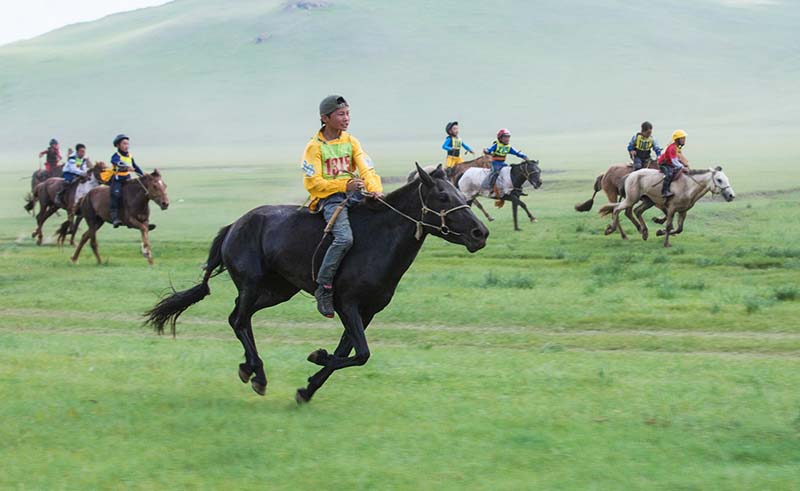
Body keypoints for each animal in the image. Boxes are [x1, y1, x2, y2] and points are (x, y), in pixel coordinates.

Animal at [144, 165, 489, 403]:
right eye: (443, 196)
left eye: (461, 194)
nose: (480, 233)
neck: (379, 240)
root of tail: (234, 225)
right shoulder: (346, 304)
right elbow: (361, 354)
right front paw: (316, 357)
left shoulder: (367, 312)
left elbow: (349, 351)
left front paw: (307, 389)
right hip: (252, 284)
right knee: (240, 320)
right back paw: (258, 374)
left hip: (278, 290)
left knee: (238, 318)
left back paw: (249, 369)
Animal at [599, 166, 735, 247]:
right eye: (719, 180)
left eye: (726, 179)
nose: (731, 196)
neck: (688, 186)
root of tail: (630, 175)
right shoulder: (671, 208)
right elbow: (669, 225)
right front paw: (666, 243)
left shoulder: (683, 211)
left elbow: (679, 229)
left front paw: (659, 232)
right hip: (631, 199)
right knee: (617, 209)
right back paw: (611, 229)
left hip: (648, 201)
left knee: (637, 211)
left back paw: (644, 232)